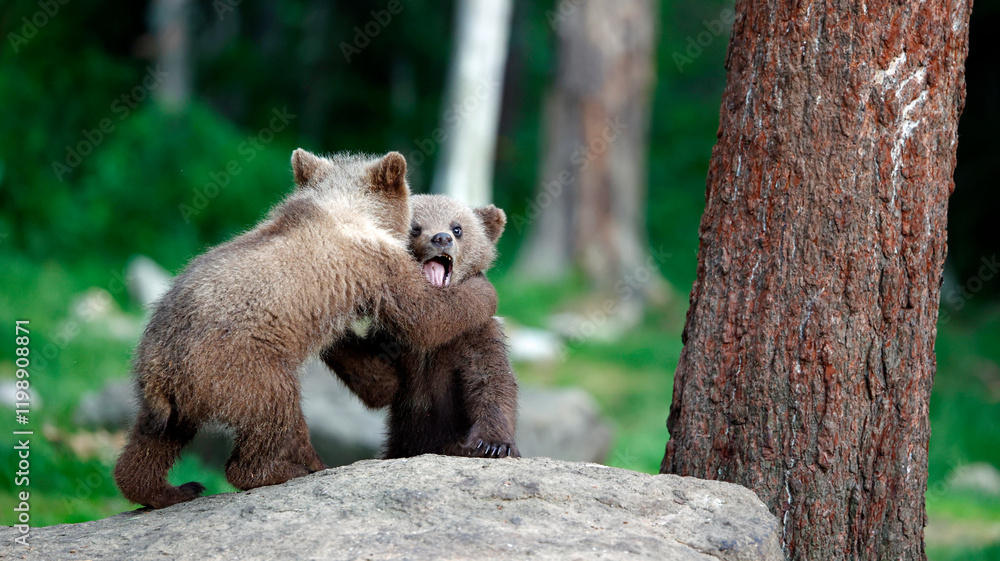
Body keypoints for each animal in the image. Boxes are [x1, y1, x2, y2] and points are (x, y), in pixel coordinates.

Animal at [113, 151, 499, 509]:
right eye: (415, 228)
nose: (440, 238)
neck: (341, 207)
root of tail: (161, 370)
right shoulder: (375, 263)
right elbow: (423, 316)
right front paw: (484, 292)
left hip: (168, 391)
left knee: (152, 441)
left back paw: (170, 489)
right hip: (238, 365)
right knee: (275, 411)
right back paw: (292, 467)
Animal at [321, 194, 519, 459]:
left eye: (457, 228)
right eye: (414, 228)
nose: (441, 238)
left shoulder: (474, 335)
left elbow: (491, 380)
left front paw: (492, 444)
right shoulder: (391, 341)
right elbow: (379, 381)